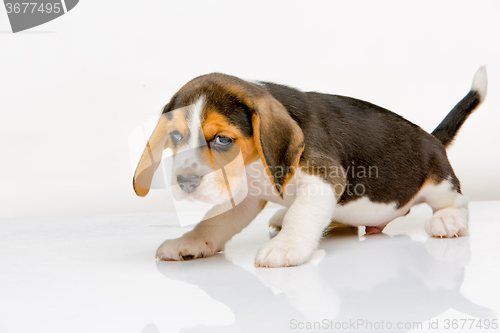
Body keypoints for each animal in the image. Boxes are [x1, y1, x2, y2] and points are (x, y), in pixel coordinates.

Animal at [133, 67, 488, 268]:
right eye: (175, 136)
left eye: (222, 139)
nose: (185, 182)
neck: (254, 166)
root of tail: (432, 138)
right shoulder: (244, 195)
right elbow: (213, 221)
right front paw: (190, 242)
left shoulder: (325, 177)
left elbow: (303, 215)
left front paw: (286, 246)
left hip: (439, 182)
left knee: (458, 200)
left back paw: (449, 220)